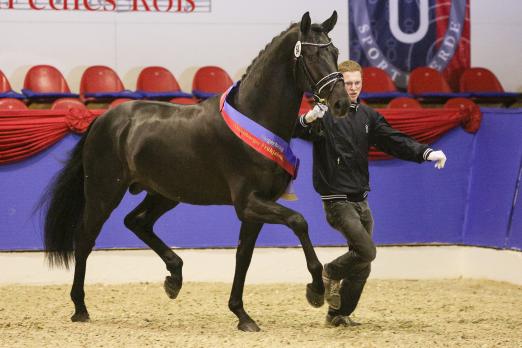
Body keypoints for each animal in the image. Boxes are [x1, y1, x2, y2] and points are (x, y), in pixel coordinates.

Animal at [41, 11, 346, 332]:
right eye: (311, 55)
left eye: (335, 53)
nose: (341, 103)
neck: (254, 116)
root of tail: (102, 119)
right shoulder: (248, 203)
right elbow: (299, 222)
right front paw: (316, 290)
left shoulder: (255, 208)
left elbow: (244, 256)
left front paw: (242, 315)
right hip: (104, 192)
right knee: (85, 239)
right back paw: (80, 308)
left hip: (165, 193)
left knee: (136, 222)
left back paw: (174, 278)